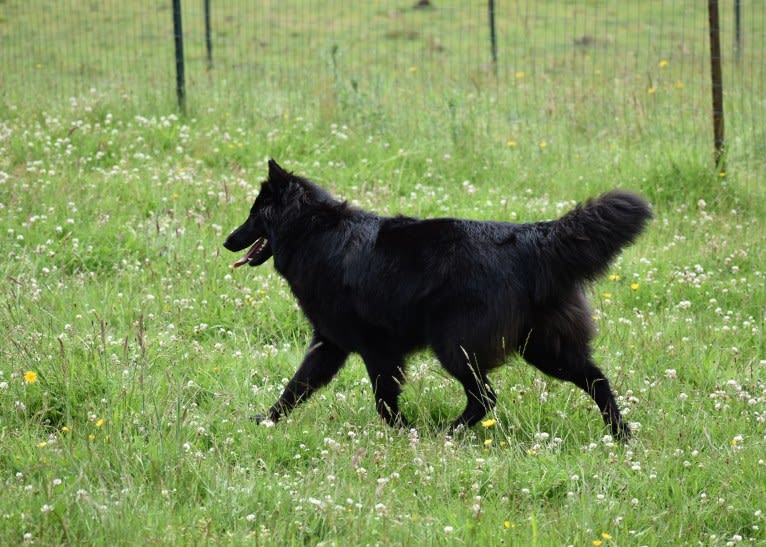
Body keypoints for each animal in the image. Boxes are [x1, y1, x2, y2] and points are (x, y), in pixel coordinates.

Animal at [225, 159, 652, 440]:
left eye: (254, 214)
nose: (227, 241)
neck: (312, 230)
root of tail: (532, 239)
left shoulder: (377, 349)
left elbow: (383, 401)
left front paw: (405, 432)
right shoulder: (329, 345)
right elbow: (295, 388)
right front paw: (266, 419)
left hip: (456, 346)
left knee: (485, 398)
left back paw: (448, 432)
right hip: (544, 348)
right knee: (596, 379)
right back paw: (621, 435)